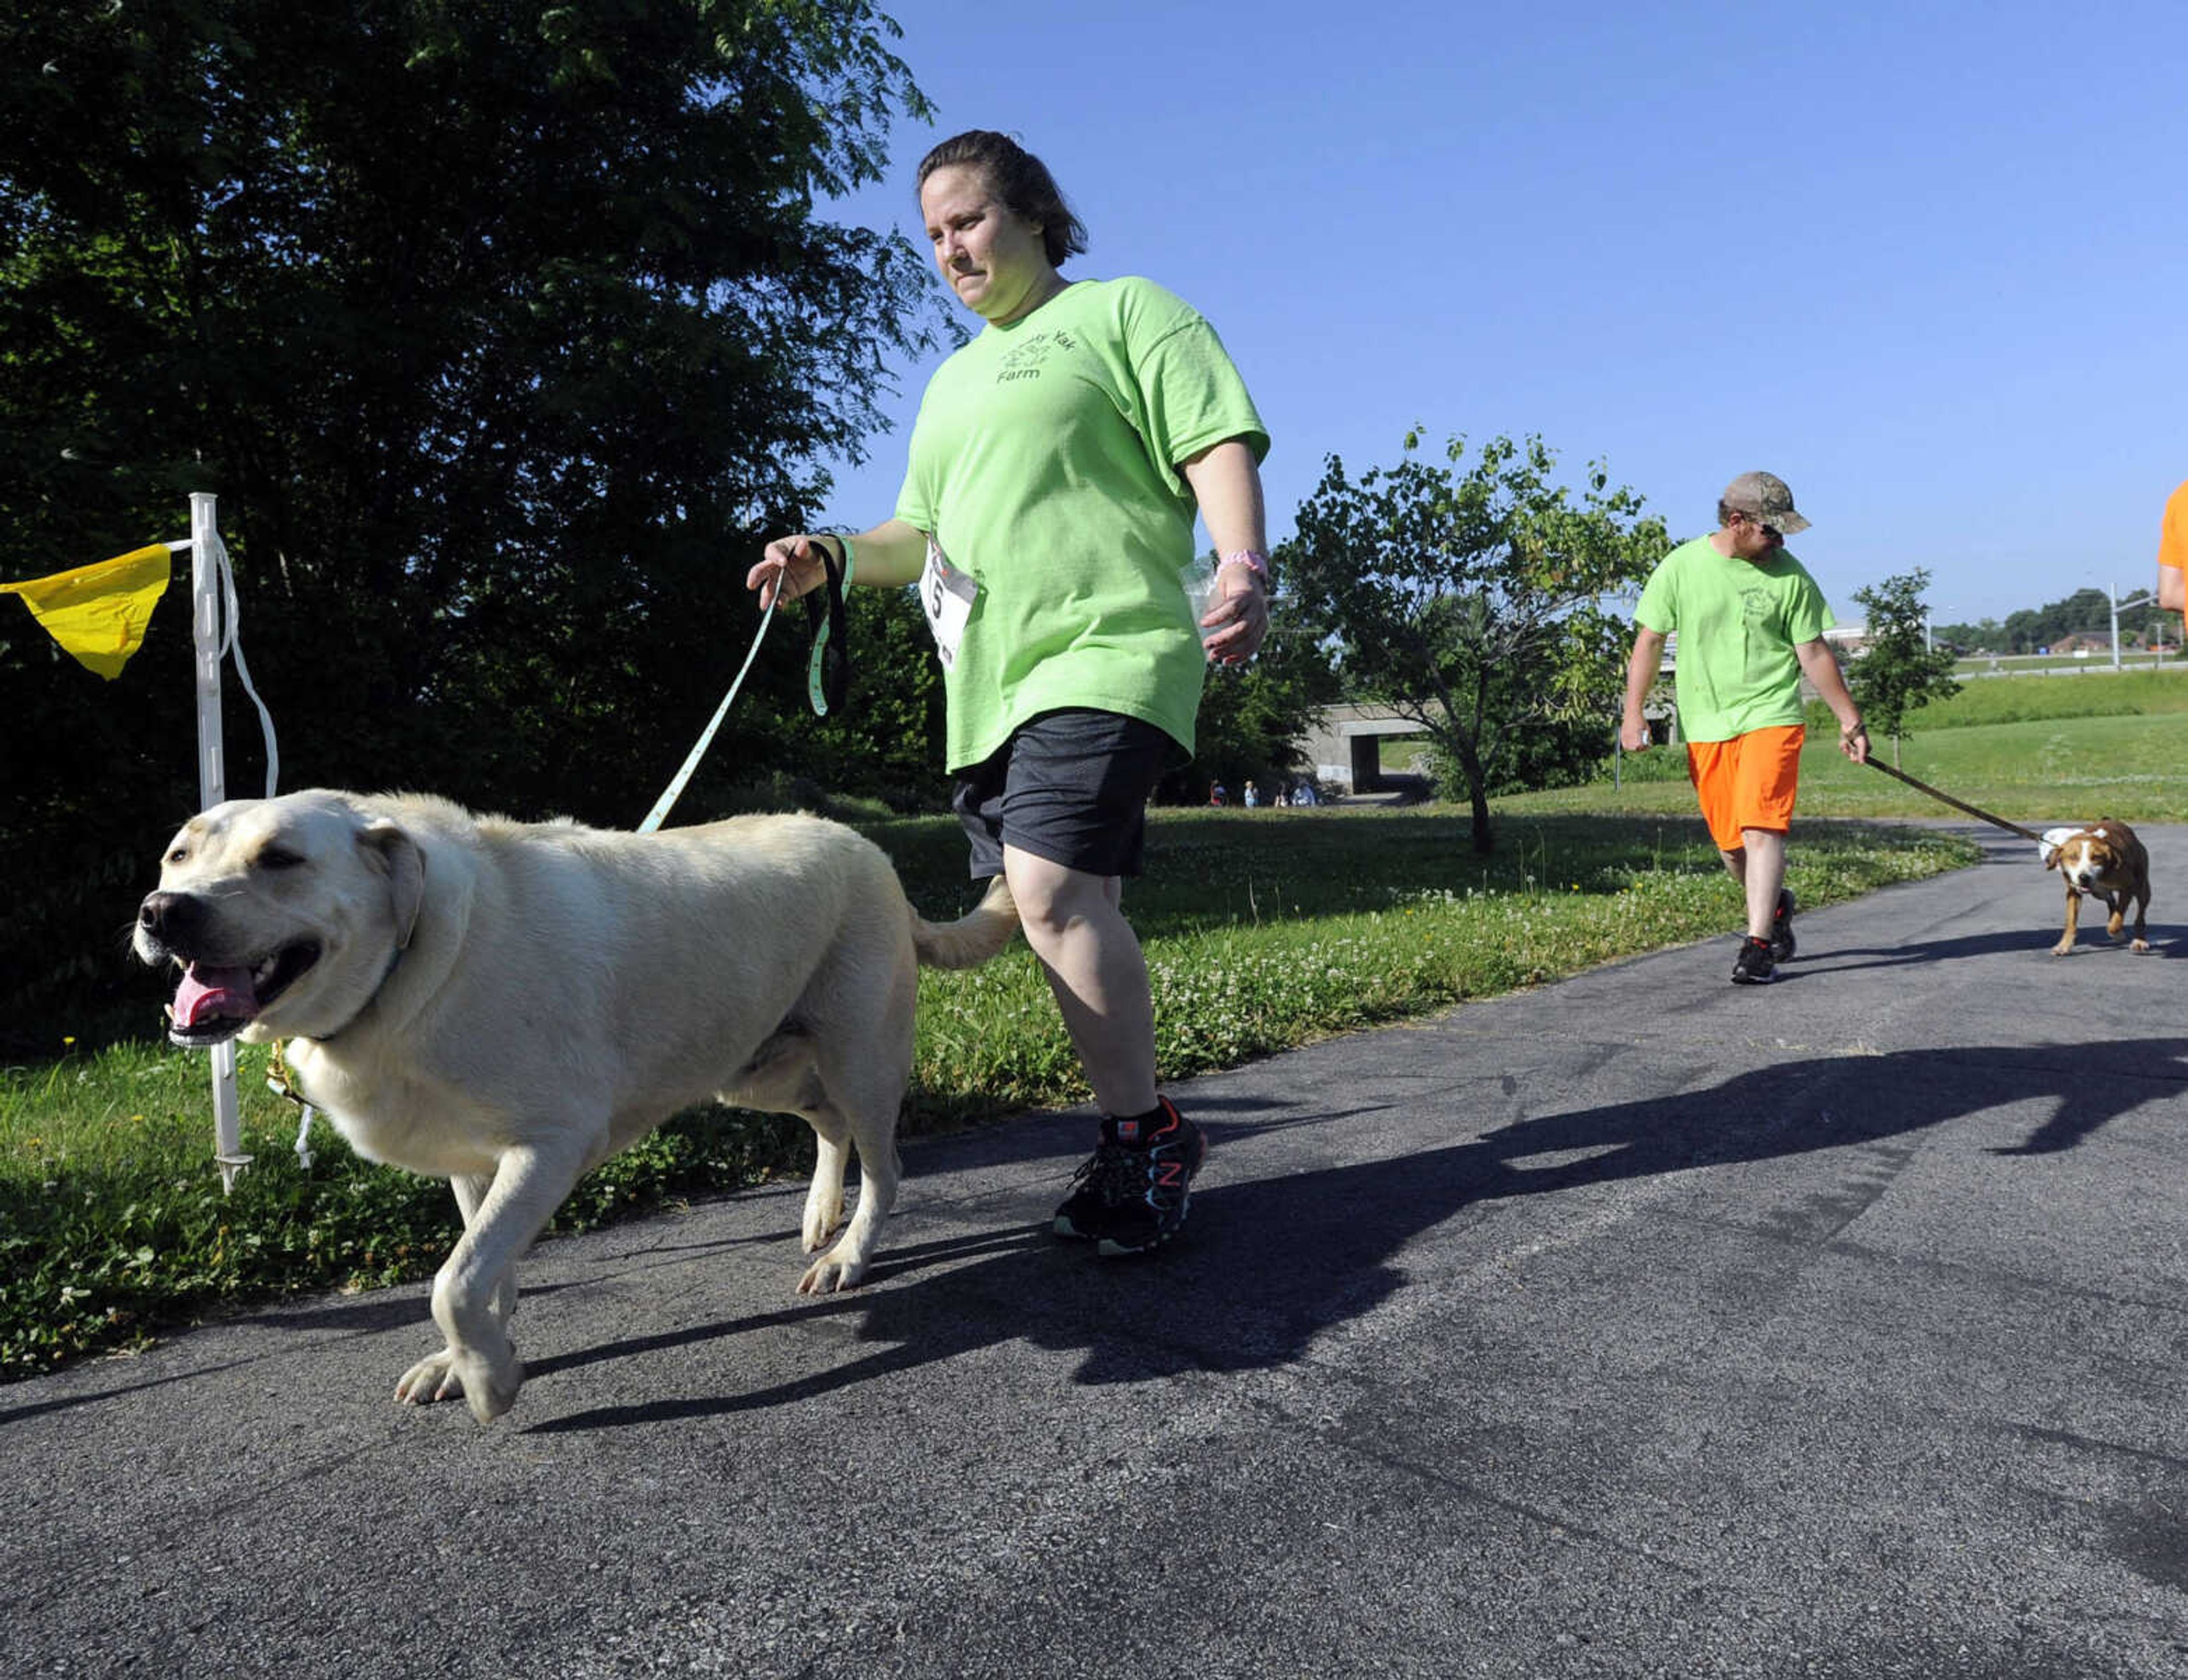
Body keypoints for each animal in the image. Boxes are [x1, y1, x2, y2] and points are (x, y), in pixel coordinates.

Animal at [2030, 818, 2153, 958]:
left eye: (2097, 857)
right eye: (2073, 857)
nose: (2084, 877)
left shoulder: (2128, 887)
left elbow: (2117, 918)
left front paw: (2116, 932)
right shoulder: (2073, 892)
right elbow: (2071, 922)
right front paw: (2064, 946)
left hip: (2142, 888)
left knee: (2140, 915)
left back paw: (2139, 940)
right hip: (2099, 893)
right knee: (2111, 901)